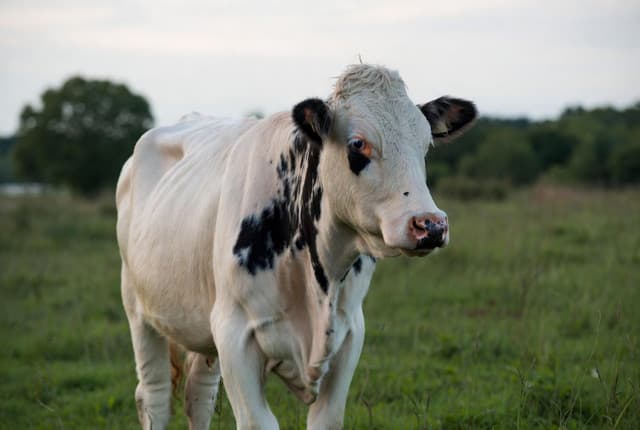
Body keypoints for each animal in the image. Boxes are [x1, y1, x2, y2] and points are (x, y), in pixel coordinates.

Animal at [116, 64, 476, 430]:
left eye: (426, 144)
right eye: (358, 144)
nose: (430, 224)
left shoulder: (350, 332)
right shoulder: (234, 335)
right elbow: (258, 422)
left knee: (199, 395)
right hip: (138, 309)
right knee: (155, 396)